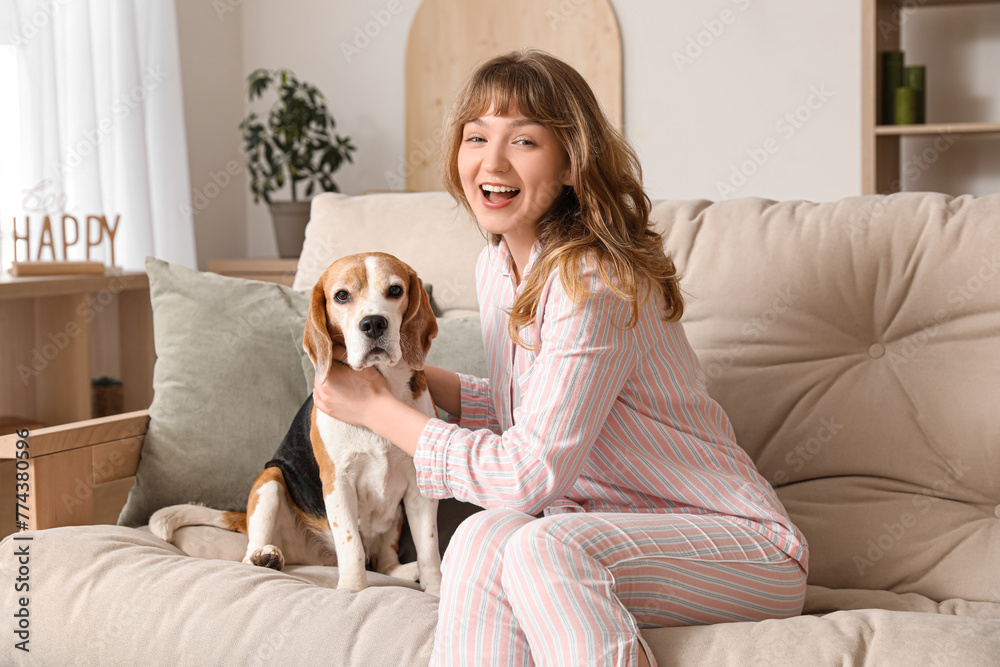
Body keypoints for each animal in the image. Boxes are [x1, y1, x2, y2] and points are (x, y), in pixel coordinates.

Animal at [149, 254, 442, 596]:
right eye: (342, 296)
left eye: (395, 290)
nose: (373, 323)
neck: (382, 388)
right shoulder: (338, 484)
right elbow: (352, 546)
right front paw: (352, 589)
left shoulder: (419, 489)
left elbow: (429, 550)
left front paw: (436, 591)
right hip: (271, 479)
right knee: (250, 552)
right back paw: (266, 556)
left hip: (394, 517)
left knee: (384, 563)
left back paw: (405, 571)